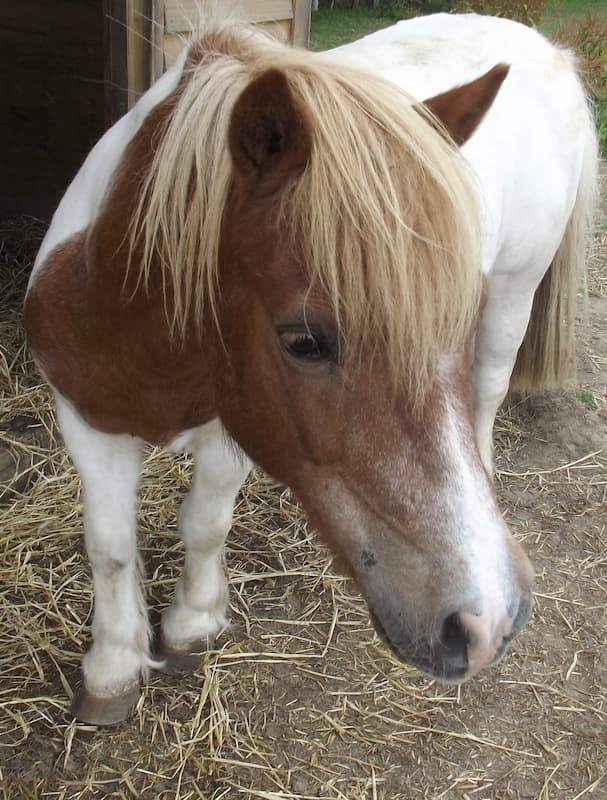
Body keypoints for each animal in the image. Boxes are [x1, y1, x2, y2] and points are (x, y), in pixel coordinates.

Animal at [24, 13, 598, 726]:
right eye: (302, 341)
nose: (487, 621)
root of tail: (549, 50)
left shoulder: (234, 429)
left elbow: (205, 522)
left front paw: (192, 623)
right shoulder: (87, 423)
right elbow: (109, 546)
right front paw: (114, 664)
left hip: (514, 297)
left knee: (488, 392)